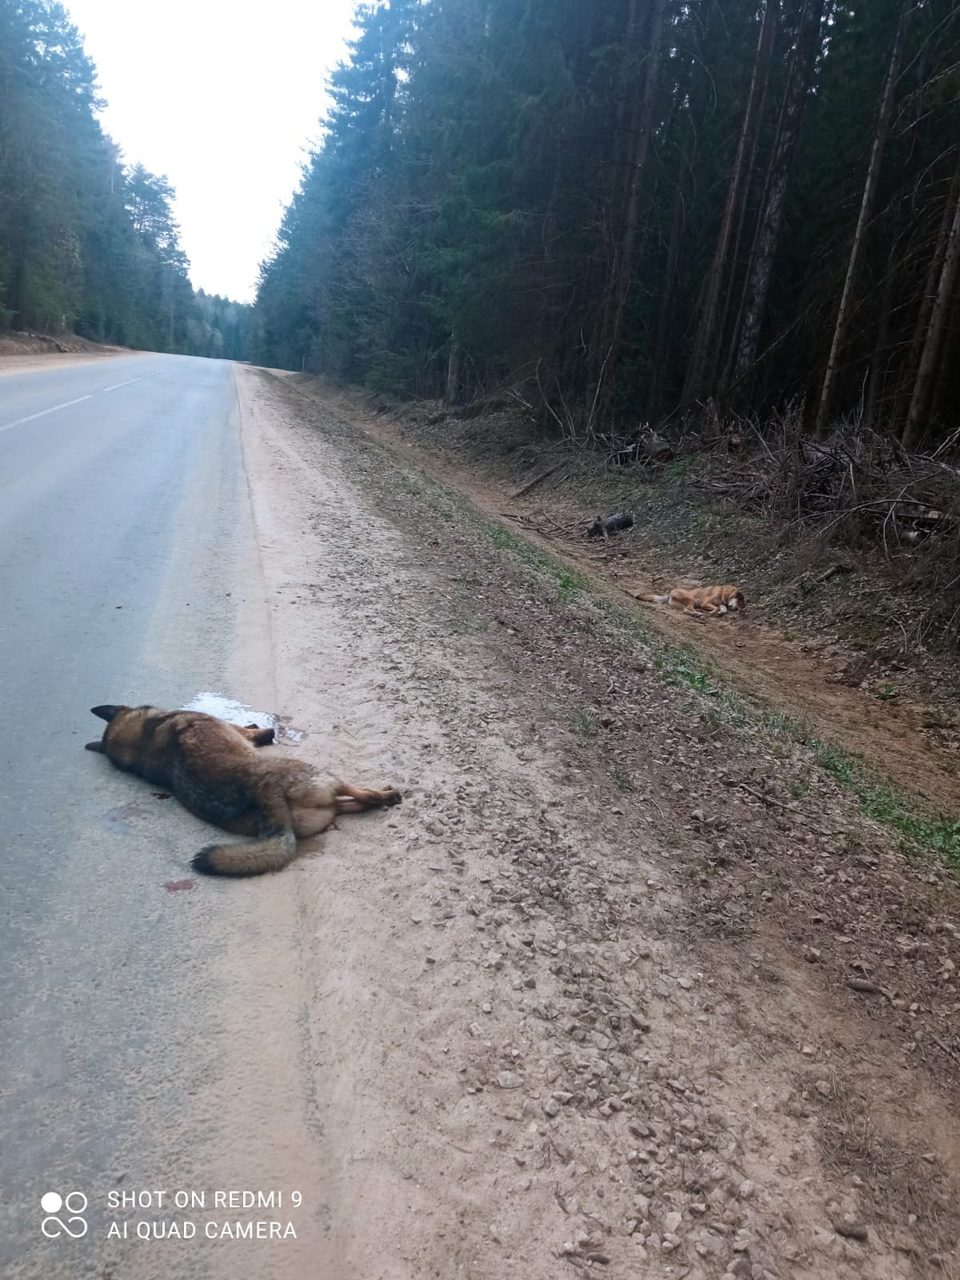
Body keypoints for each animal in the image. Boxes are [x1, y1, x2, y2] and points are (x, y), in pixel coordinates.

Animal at [82, 706, 399, 875]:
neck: (142, 741)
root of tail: (263, 796)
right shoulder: (225, 725)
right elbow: (245, 730)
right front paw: (262, 731)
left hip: (319, 805)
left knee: (349, 804)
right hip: (319, 774)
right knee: (360, 794)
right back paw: (386, 795)